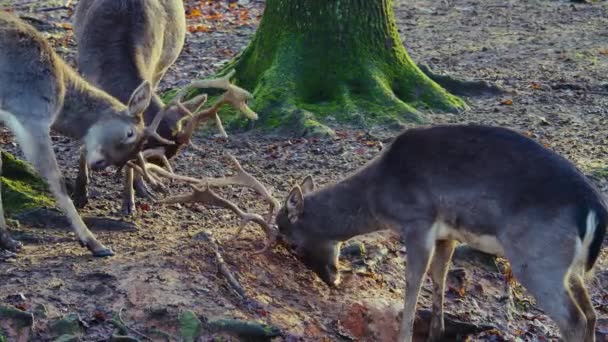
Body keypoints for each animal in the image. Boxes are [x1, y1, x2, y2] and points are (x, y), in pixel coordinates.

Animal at [0, 10, 169, 256]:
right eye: (130, 133)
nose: (100, 164)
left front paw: (7, 239)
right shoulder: (31, 113)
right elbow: (56, 179)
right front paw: (94, 243)